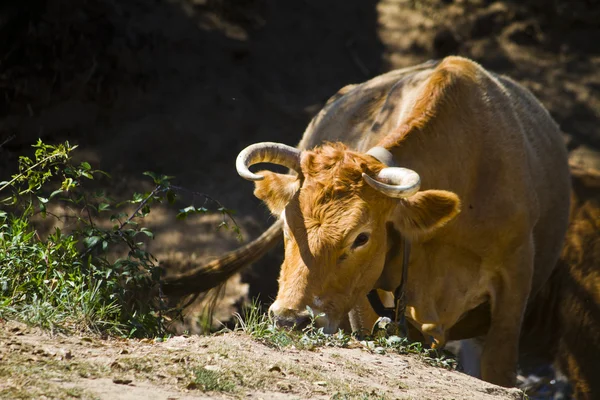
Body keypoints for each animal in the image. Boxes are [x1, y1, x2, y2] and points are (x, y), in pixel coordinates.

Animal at [164, 56, 572, 388]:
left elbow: (498, 372)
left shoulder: (514, 286)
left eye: (361, 237)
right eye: (287, 227)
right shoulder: (366, 301)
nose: (289, 320)